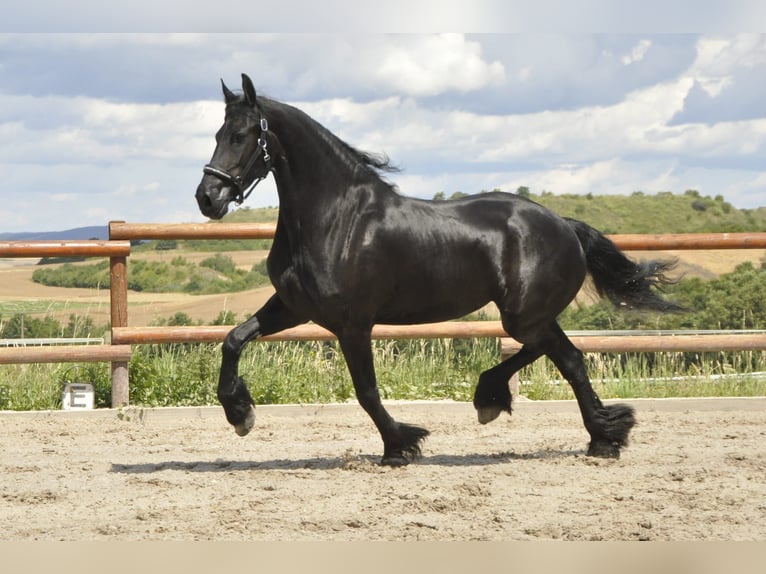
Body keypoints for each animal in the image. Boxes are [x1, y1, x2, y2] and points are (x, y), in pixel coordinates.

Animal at [195, 73, 679, 466]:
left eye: (240, 135)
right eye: (217, 132)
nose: (207, 197)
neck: (335, 217)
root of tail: (564, 225)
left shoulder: (353, 324)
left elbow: (367, 391)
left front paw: (400, 446)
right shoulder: (294, 308)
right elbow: (233, 340)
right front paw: (240, 414)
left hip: (524, 316)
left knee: (566, 358)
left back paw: (598, 435)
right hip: (529, 315)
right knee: (558, 354)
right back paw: (540, 415)